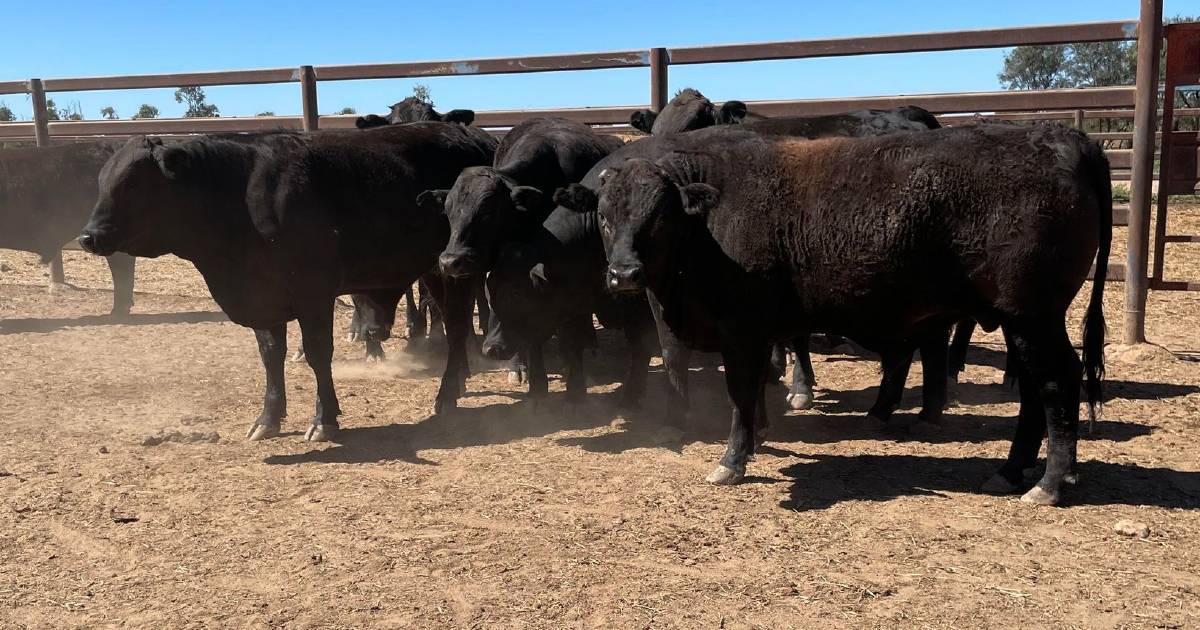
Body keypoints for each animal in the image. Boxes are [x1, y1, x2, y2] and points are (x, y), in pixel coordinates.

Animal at [79, 120, 494, 439]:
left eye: (134, 183)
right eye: (101, 181)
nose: (89, 236)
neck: (238, 196)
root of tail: (470, 135)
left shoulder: (314, 294)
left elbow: (317, 354)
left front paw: (324, 419)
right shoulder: (265, 296)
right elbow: (270, 354)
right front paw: (268, 418)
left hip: (452, 270)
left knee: (458, 326)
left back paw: (446, 395)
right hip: (435, 270)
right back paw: (457, 381)